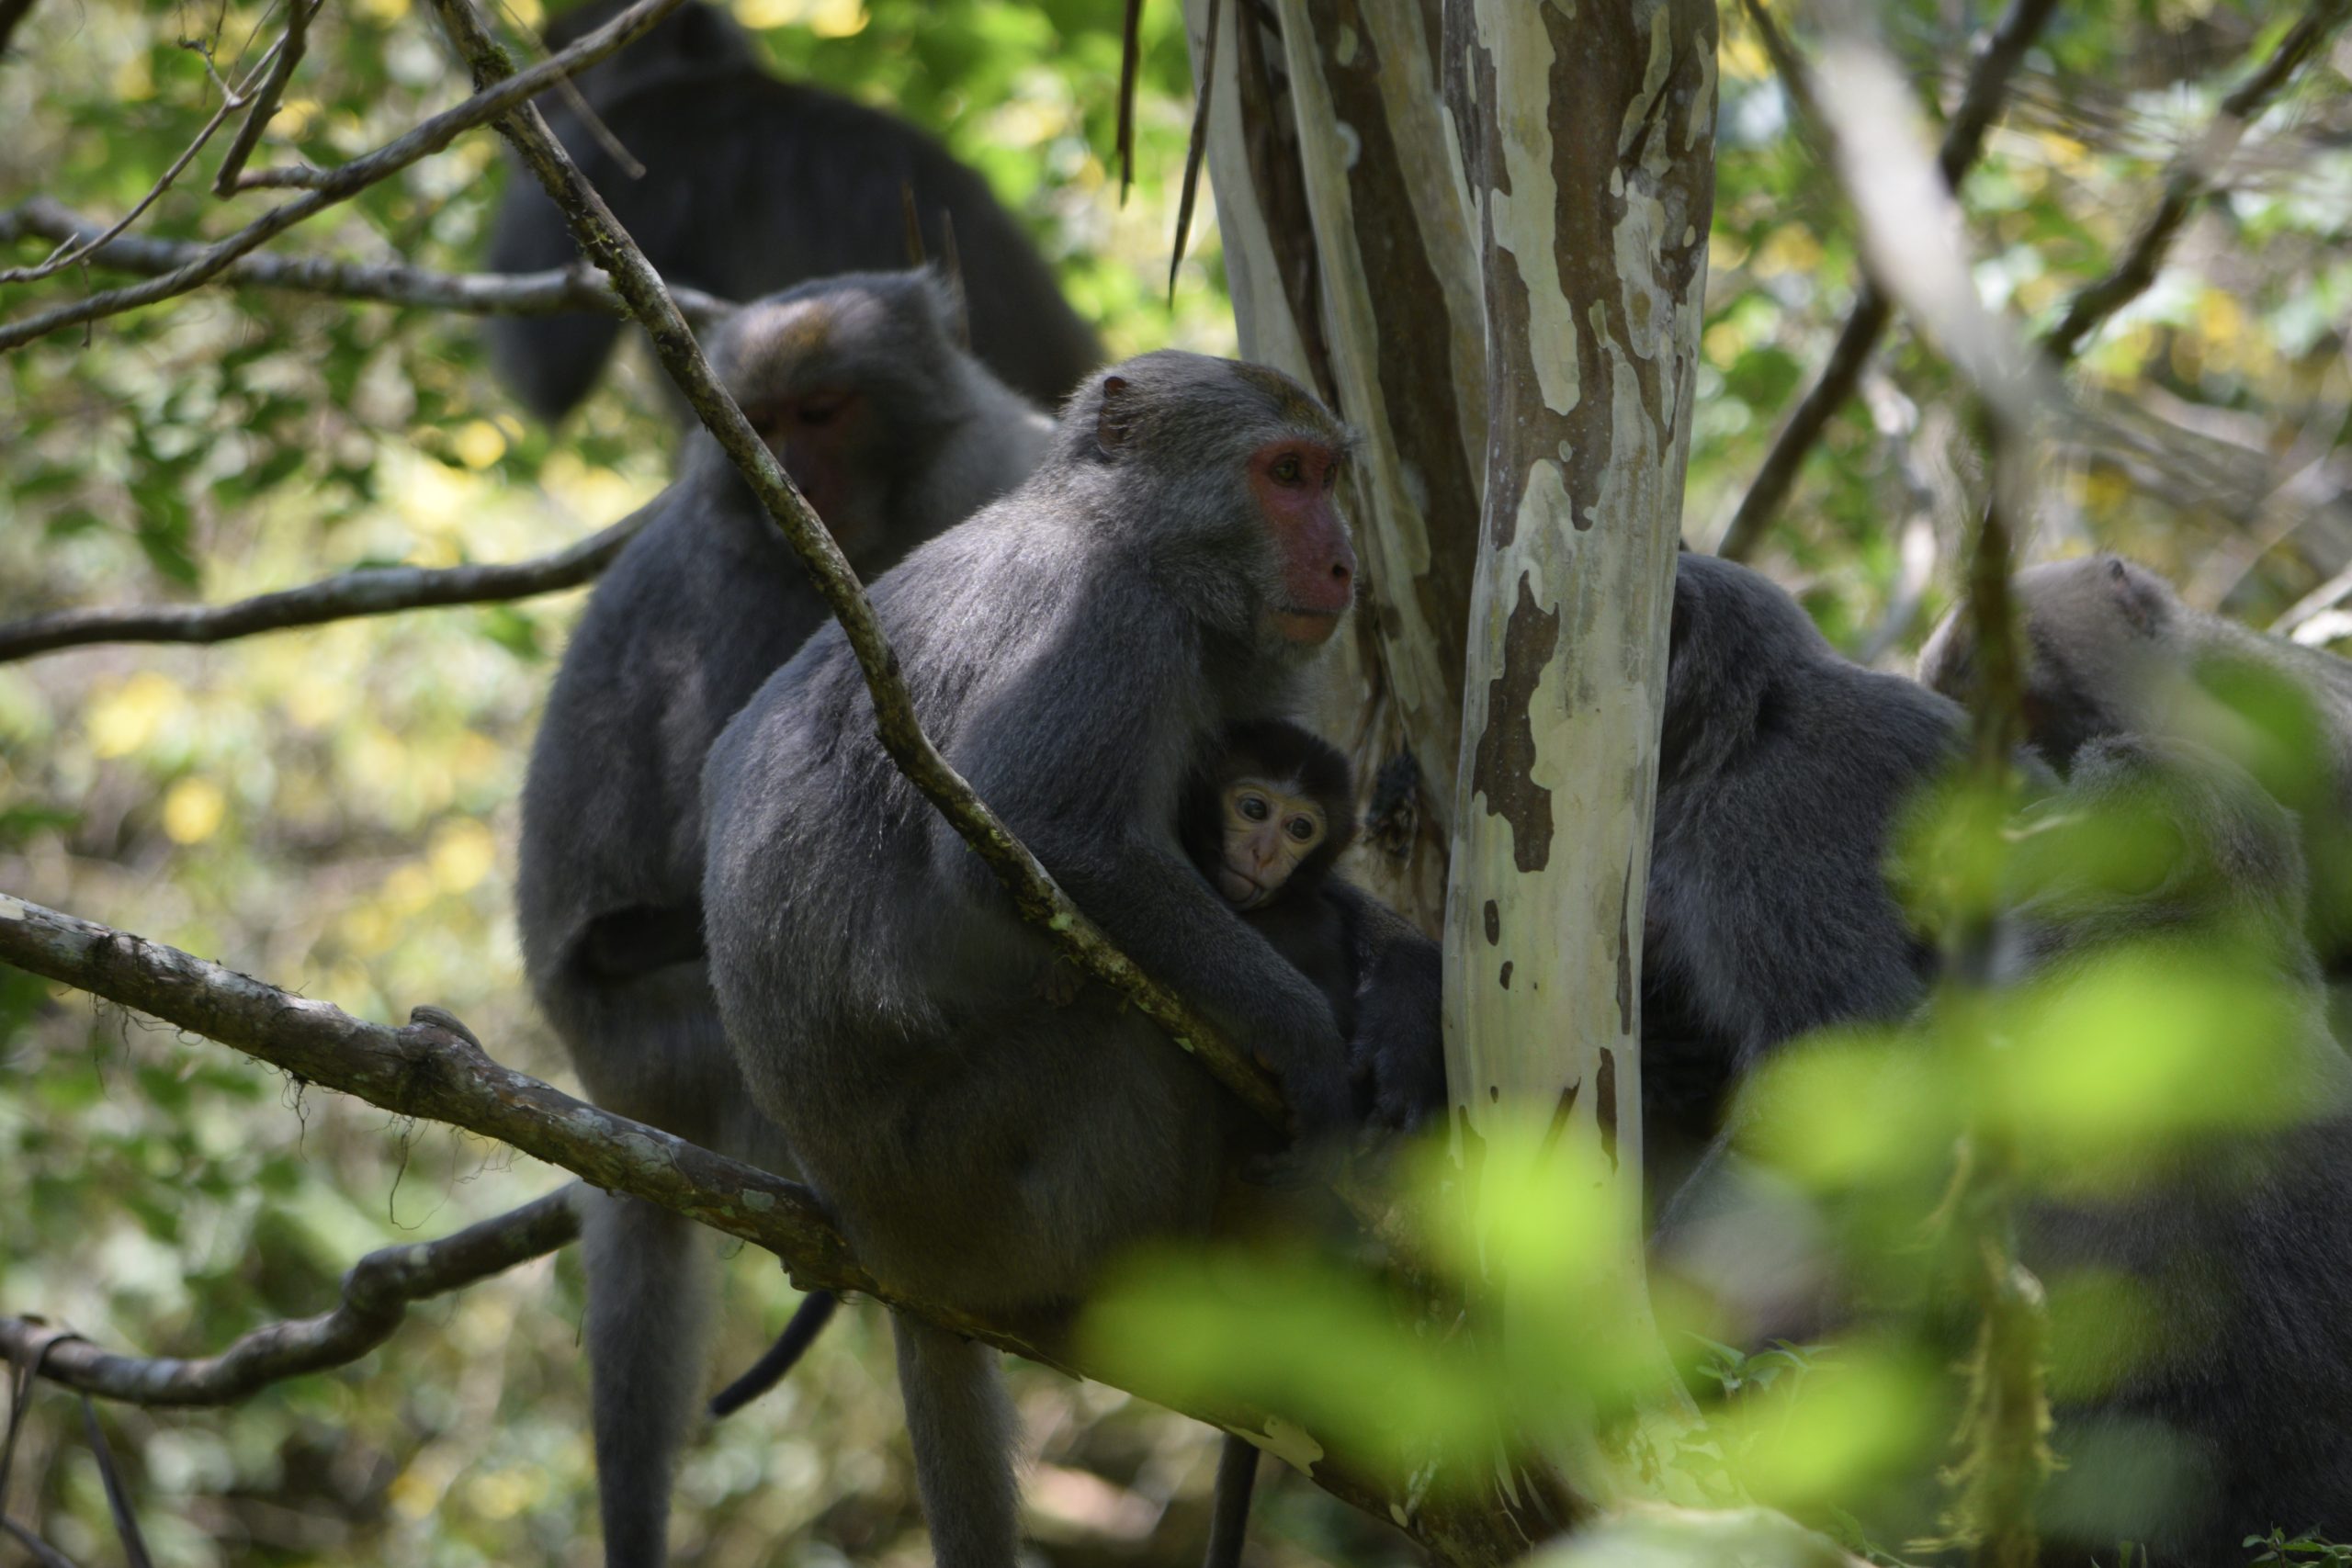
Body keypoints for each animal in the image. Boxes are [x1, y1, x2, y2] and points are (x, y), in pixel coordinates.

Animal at [514, 268, 1054, 1568]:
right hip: (691, 1045)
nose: (793, 476)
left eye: (823, 410)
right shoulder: (760, 593)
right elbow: (737, 842)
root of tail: (602, 1079)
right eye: (760, 423)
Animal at [701, 351, 1383, 1568]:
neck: (1129, 537)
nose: (1345, 561)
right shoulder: (1104, 625)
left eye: (1328, 474)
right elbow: (1047, 834)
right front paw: (1306, 1036)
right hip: (982, 1182)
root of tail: (885, 1244)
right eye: (1287, 474)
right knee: (1118, 1031)